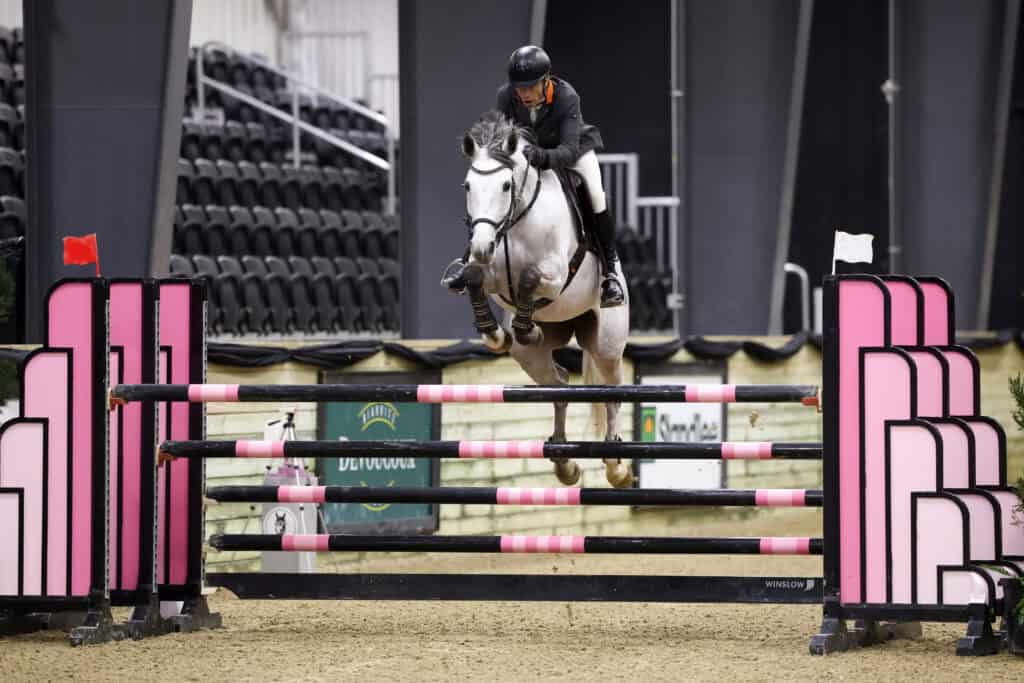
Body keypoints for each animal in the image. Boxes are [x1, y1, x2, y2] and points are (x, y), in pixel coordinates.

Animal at [457, 111, 633, 488]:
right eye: (467, 186)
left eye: (505, 186)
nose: (482, 246)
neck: (517, 220)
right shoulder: (491, 274)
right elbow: (474, 277)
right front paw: (495, 333)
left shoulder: (555, 276)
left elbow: (529, 278)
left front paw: (524, 328)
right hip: (532, 355)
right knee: (559, 385)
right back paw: (564, 461)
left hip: (607, 344)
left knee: (612, 391)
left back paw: (617, 465)